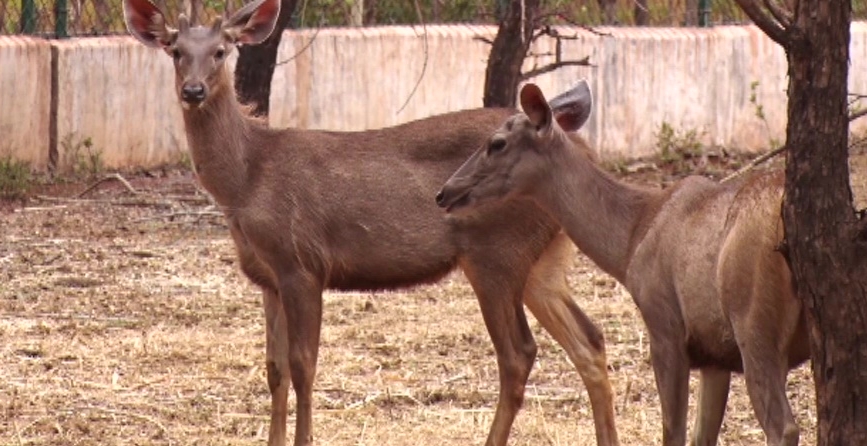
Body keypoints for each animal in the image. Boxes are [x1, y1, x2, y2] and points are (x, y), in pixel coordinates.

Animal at [124, 0, 624, 446]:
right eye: (175, 50)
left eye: (221, 51)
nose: (193, 91)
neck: (247, 180)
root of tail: (581, 150)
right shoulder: (268, 276)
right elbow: (274, 369)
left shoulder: (302, 262)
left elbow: (304, 365)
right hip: (545, 260)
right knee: (590, 341)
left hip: (496, 252)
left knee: (518, 354)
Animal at [438, 81, 812, 446]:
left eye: (496, 143)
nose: (444, 192)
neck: (631, 241)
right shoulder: (714, 354)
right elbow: (700, 435)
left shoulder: (664, 324)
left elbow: (673, 432)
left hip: (752, 320)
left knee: (782, 426)